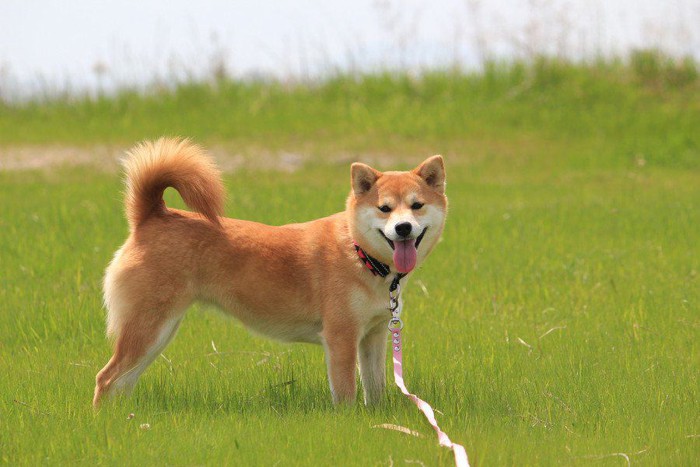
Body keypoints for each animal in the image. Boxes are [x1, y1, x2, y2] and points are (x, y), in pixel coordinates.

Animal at [91, 137, 448, 408]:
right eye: (384, 208)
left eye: (416, 205)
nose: (403, 228)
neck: (360, 255)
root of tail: (152, 216)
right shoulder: (341, 338)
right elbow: (346, 393)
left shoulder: (373, 336)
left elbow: (375, 389)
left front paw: (376, 420)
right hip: (148, 328)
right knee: (106, 379)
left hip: (158, 333)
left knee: (123, 382)